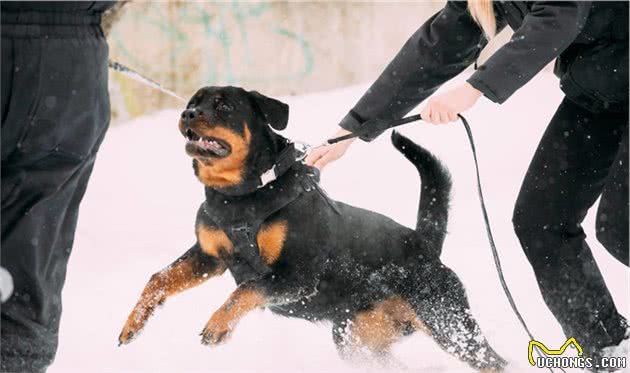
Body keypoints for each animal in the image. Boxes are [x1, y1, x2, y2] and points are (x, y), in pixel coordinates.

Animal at [118, 86, 508, 370]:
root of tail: (424, 242)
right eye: (192, 103)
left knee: (494, 361)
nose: (187, 114)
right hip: (357, 341)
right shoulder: (208, 257)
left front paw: (218, 325)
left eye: (223, 106)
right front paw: (133, 324)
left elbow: (245, 290)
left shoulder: (297, 275)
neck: (239, 196)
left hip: (448, 322)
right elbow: (158, 279)